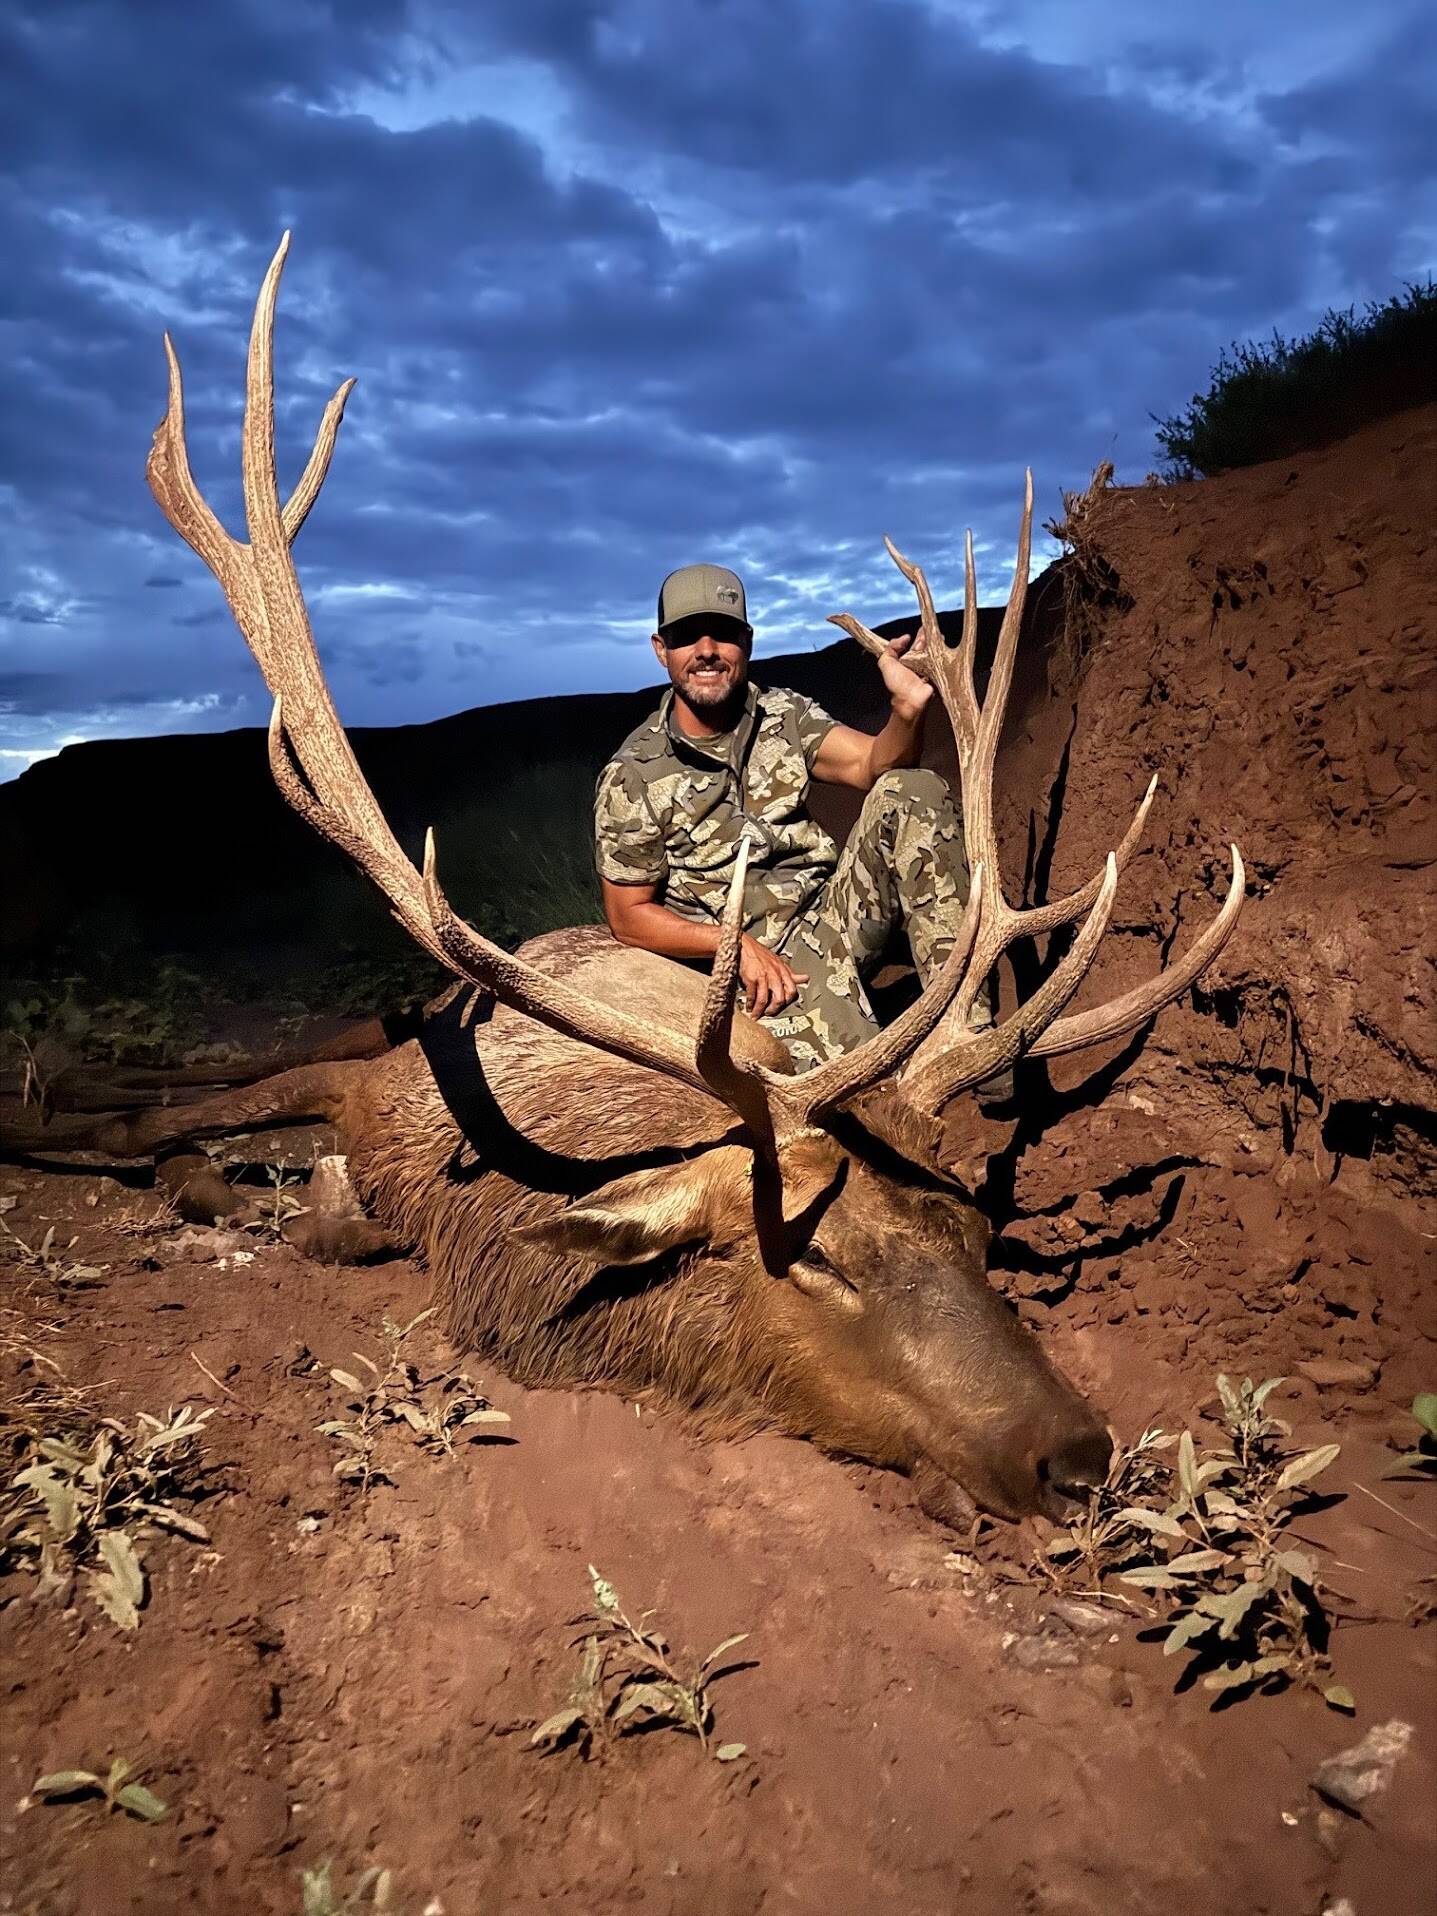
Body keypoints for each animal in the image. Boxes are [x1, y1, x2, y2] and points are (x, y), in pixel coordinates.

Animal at [11, 237, 1244, 1529]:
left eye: (974, 1231)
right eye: (817, 1254)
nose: (1076, 1454)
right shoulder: (391, 1094)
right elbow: (197, 1136)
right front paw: (170, 1160)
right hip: (410, 1025)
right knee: (245, 1065)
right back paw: (84, 1094)